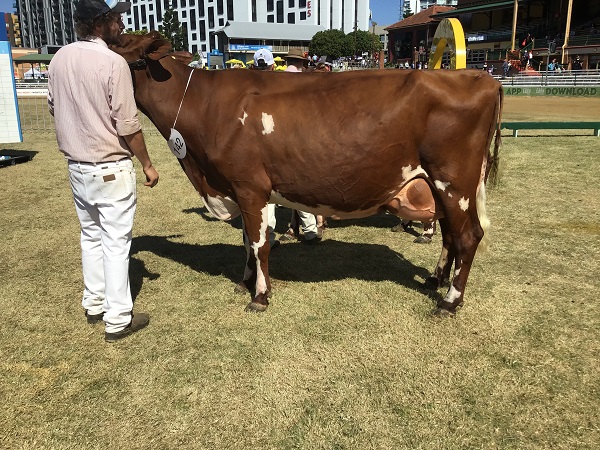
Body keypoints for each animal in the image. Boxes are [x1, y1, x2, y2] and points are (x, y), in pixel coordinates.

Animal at [111, 31, 502, 316]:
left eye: (121, 51)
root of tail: (480, 77)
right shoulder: (242, 188)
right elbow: (248, 242)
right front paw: (245, 281)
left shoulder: (249, 186)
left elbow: (258, 243)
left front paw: (260, 297)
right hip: (443, 187)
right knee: (452, 235)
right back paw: (434, 280)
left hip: (454, 181)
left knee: (468, 236)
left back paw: (449, 301)